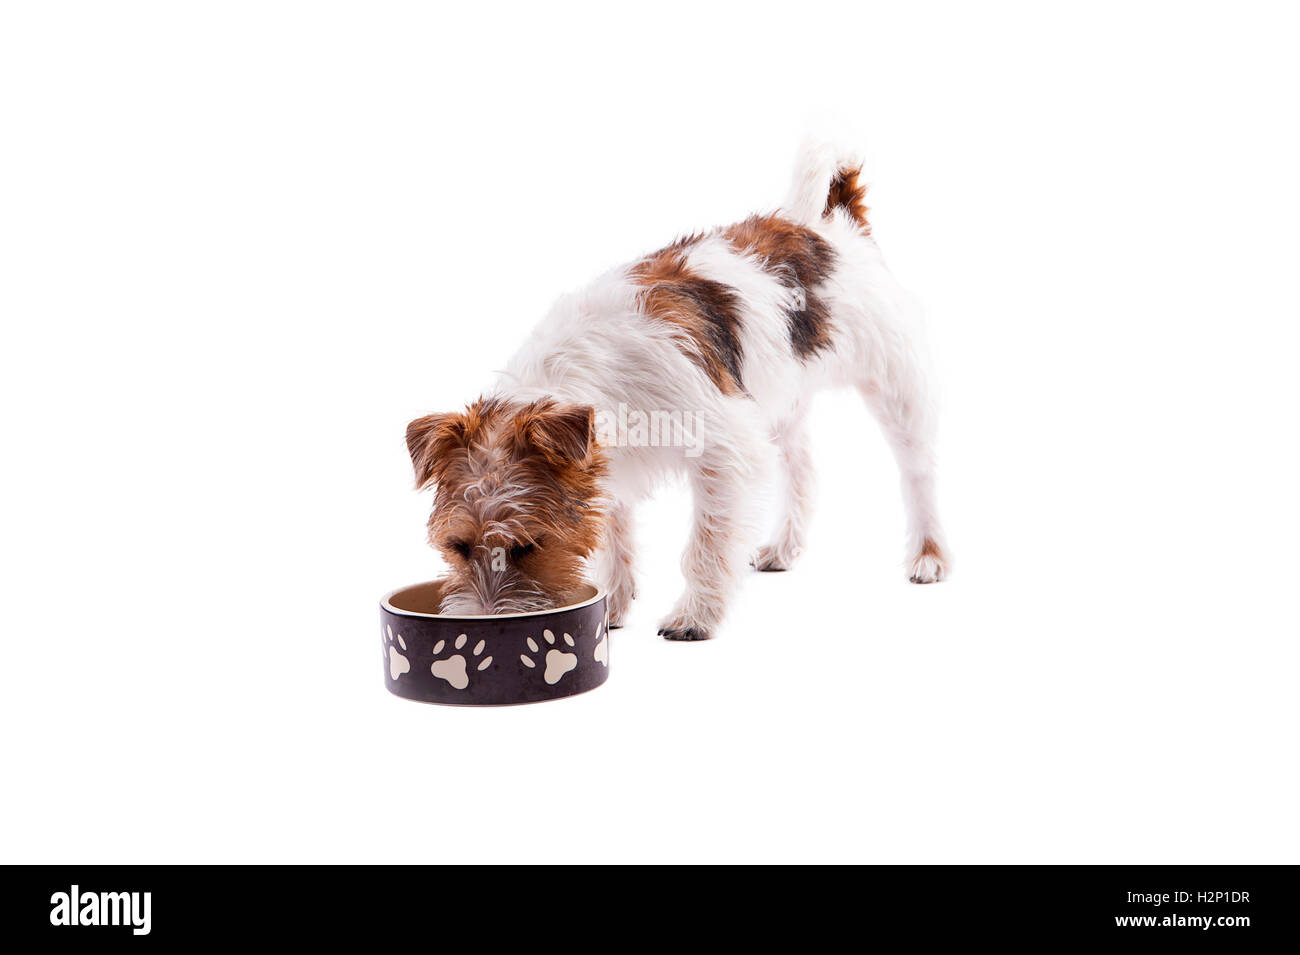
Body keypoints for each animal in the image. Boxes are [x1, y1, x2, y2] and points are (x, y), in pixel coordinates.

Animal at [403, 143, 946, 641]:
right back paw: (784, 549)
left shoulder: (725, 454)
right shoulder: (612, 469)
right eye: (458, 546)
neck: (569, 375)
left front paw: (695, 616)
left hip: (896, 388)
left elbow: (706, 544)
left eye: (528, 546)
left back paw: (929, 556)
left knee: (918, 475)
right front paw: (612, 606)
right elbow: (615, 539)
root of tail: (835, 226)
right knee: (803, 472)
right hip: (779, 401)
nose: (482, 627)